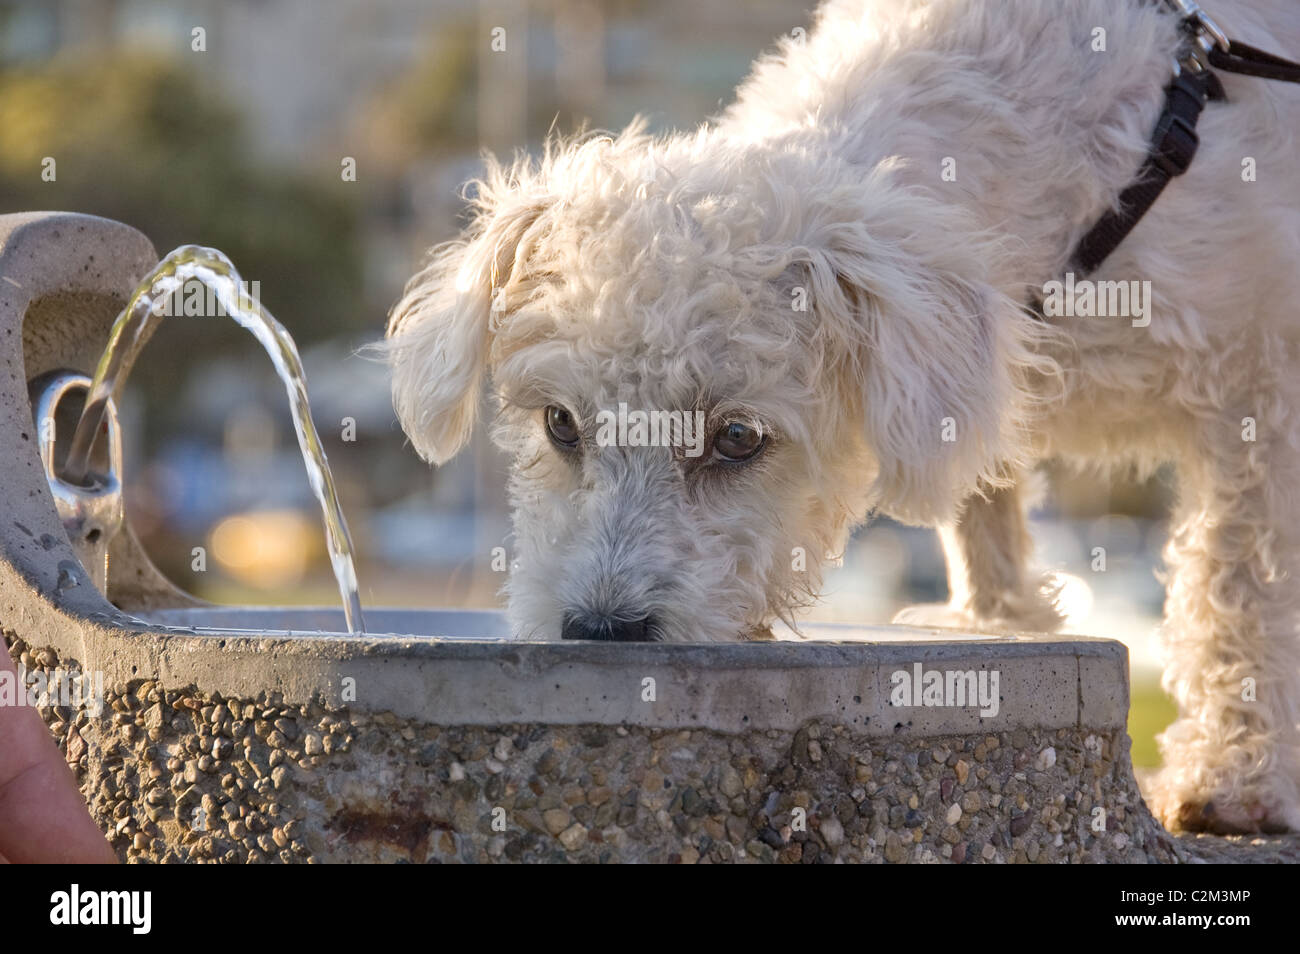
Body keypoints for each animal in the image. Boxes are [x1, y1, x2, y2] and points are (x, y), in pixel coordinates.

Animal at [384, 0, 1300, 837]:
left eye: (738, 438)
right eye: (561, 426)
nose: (601, 631)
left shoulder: (1265, 388)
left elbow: (1241, 580)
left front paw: (1235, 777)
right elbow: (984, 513)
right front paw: (998, 626)